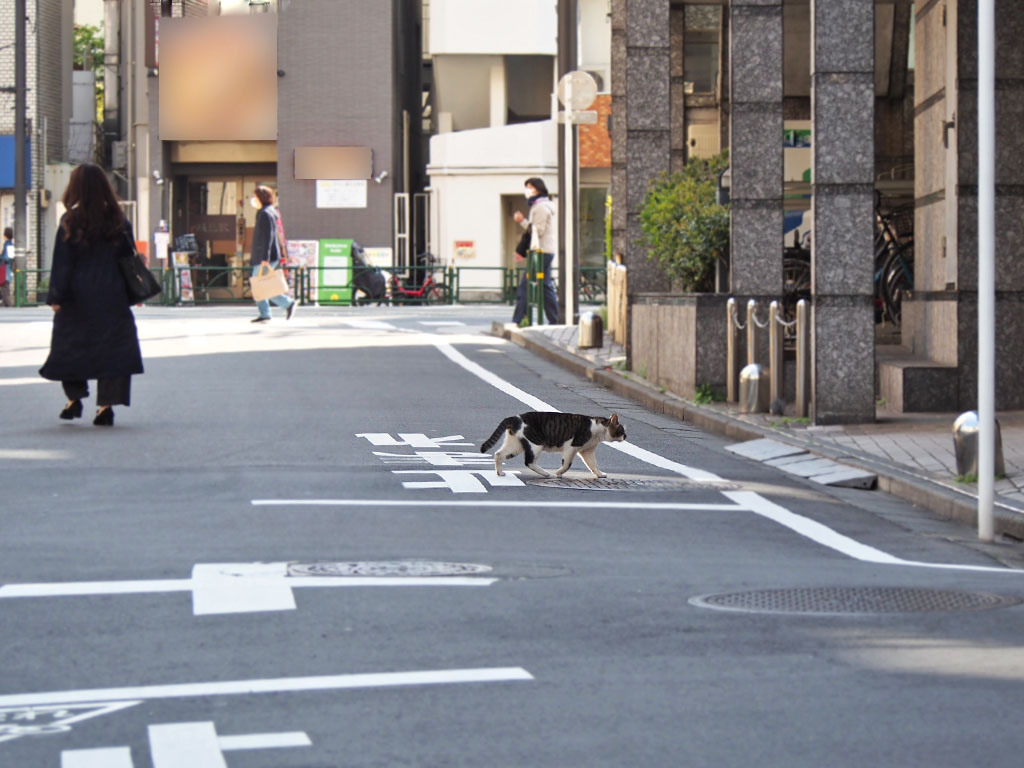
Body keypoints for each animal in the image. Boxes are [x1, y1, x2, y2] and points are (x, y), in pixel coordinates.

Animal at [477, 411, 622, 479]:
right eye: (622, 430)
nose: (625, 436)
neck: (598, 431)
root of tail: (515, 417)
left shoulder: (587, 451)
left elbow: (593, 465)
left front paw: (600, 474)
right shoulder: (571, 447)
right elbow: (567, 464)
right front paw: (559, 473)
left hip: (514, 445)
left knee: (498, 454)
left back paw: (500, 472)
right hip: (535, 444)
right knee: (529, 462)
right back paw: (546, 473)